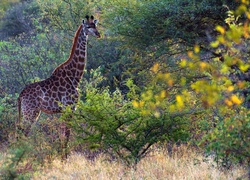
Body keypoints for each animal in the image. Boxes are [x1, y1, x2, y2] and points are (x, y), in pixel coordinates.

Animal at [16, 15, 100, 158]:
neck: (75, 76)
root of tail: (20, 96)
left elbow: (62, 136)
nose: (98, 34)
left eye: (95, 25)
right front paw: (64, 159)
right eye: (88, 27)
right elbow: (66, 136)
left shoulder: (64, 110)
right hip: (31, 112)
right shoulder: (69, 107)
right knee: (22, 134)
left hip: (28, 112)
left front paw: (62, 157)